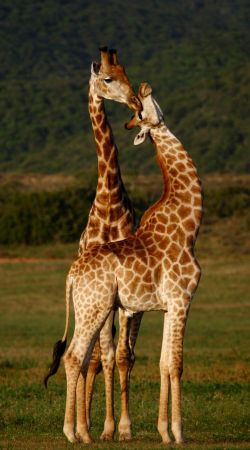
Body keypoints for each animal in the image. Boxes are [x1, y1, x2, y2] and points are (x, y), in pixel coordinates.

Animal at [45, 81, 203, 442]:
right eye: (141, 111)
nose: (144, 87)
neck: (190, 225)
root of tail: (71, 274)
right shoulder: (182, 298)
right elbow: (176, 363)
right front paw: (178, 432)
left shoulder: (168, 306)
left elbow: (162, 363)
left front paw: (164, 432)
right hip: (95, 307)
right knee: (75, 356)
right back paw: (73, 432)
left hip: (91, 309)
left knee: (82, 358)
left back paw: (81, 431)